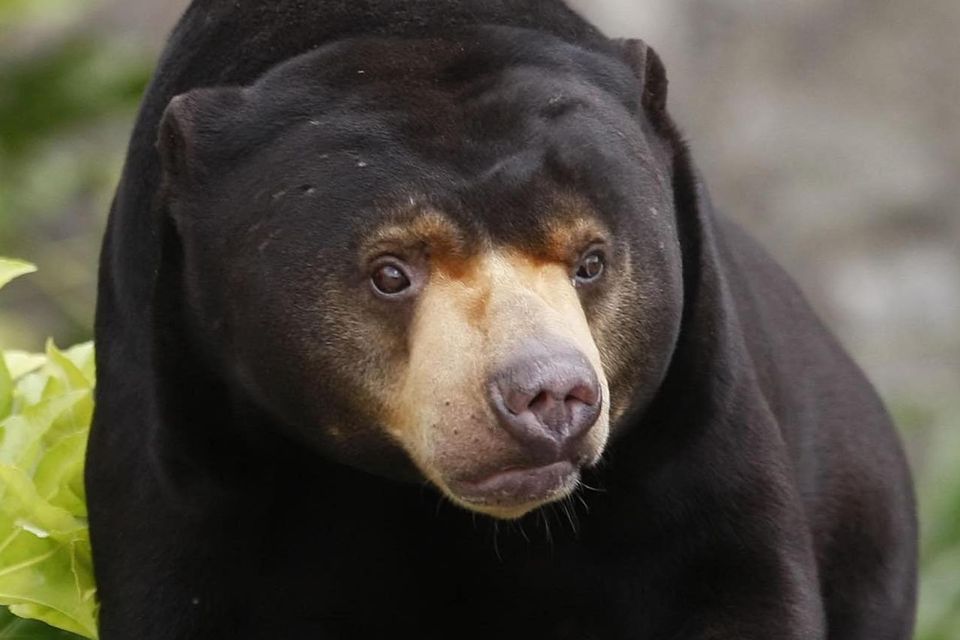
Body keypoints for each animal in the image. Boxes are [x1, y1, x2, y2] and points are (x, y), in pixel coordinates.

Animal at [86, 0, 920, 636]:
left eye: (591, 259)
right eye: (392, 273)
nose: (549, 396)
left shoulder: (698, 418)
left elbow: (731, 576)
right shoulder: (185, 445)